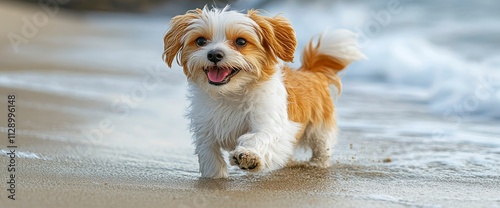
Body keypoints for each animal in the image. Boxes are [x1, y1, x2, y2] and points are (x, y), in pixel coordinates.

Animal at [162, 5, 366, 178]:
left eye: (241, 41)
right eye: (201, 41)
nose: (214, 54)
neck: (230, 94)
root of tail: (308, 71)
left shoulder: (270, 123)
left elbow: (259, 136)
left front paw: (249, 156)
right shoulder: (205, 131)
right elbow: (210, 157)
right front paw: (214, 178)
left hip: (319, 128)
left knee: (322, 148)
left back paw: (316, 164)